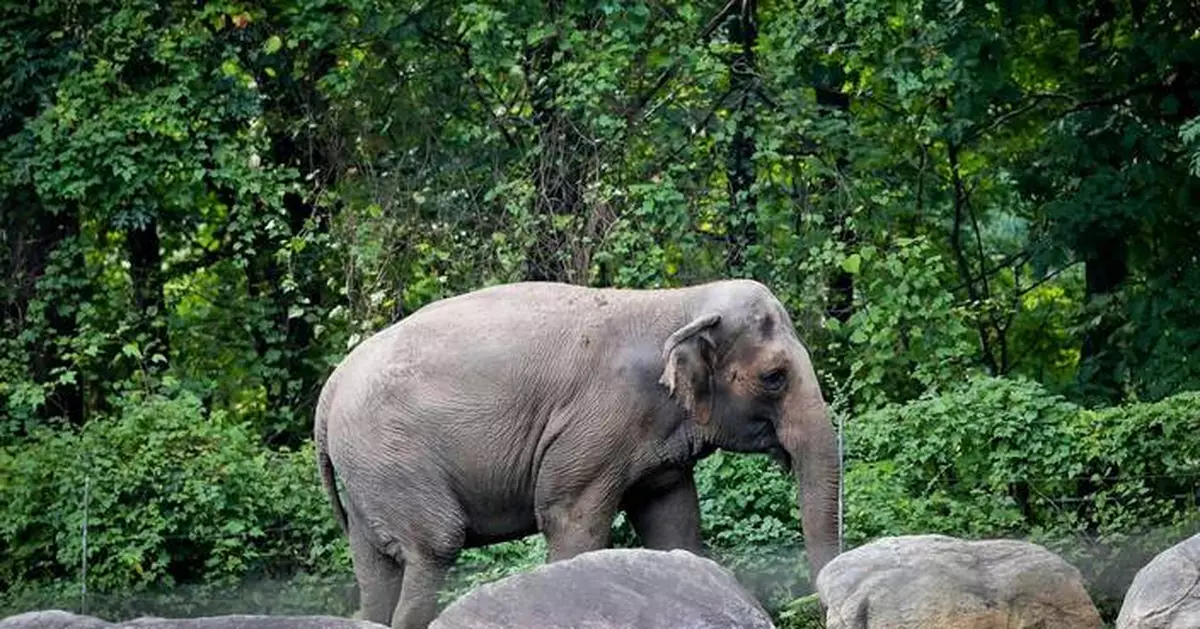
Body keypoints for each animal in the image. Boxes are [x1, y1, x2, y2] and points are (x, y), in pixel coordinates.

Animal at [314, 279, 842, 629]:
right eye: (774, 377)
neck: (677, 300)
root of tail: (330, 388)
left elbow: (674, 522)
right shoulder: (595, 426)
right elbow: (572, 521)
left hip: (367, 474)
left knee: (374, 569)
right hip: (392, 458)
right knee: (434, 547)